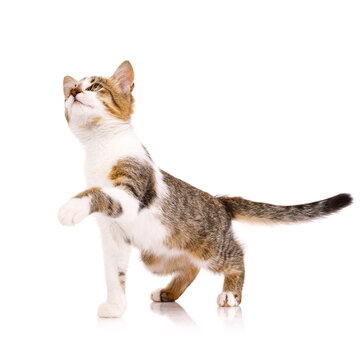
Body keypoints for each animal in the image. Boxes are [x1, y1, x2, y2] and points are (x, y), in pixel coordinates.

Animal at [57, 61, 352, 318]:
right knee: (191, 266)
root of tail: (221, 201)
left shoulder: (132, 192)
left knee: (237, 256)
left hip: (211, 248)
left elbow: (98, 192)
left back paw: (231, 294)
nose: (74, 91)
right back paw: (168, 293)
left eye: (95, 86)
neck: (100, 147)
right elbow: (114, 274)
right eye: (73, 89)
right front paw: (115, 307)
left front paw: (71, 208)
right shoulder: (114, 235)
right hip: (158, 255)